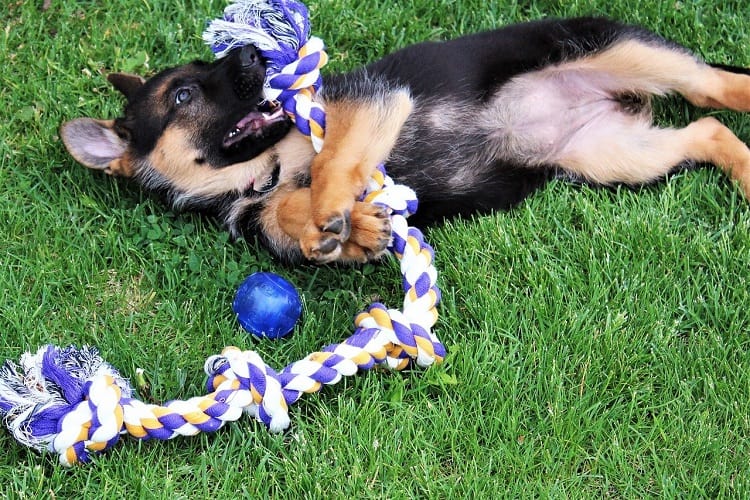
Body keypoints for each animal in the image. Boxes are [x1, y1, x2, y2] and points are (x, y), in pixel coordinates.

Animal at [61, 17, 750, 264]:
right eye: (182, 95)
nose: (257, 54)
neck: (263, 169)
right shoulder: (263, 208)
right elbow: (290, 220)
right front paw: (343, 231)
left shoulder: (370, 103)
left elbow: (334, 163)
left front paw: (335, 211)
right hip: (611, 154)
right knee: (706, 129)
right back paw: (743, 169)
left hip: (617, 51)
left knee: (713, 89)